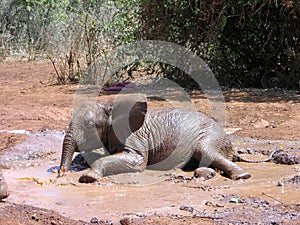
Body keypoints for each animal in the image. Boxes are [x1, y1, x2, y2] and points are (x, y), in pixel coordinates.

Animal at [58, 94, 251, 182]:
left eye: (90, 126)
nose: (61, 173)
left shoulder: (135, 137)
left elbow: (137, 161)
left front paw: (88, 177)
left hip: (212, 136)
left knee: (204, 150)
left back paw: (242, 176)